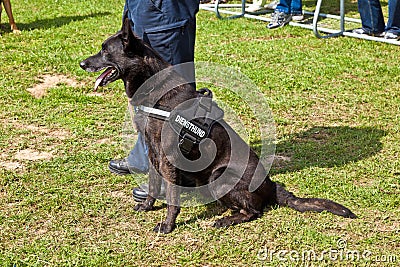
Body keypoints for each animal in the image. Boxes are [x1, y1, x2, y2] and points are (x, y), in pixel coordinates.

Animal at [80, 17, 356, 234]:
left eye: (105, 51)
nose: (82, 64)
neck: (155, 90)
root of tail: (272, 186)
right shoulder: (154, 154)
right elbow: (153, 187)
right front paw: (148, 206)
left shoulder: (168, 159)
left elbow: (171, 199)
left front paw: (168, 225)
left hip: (218, 175)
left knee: (254, 211)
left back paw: (226, 220)